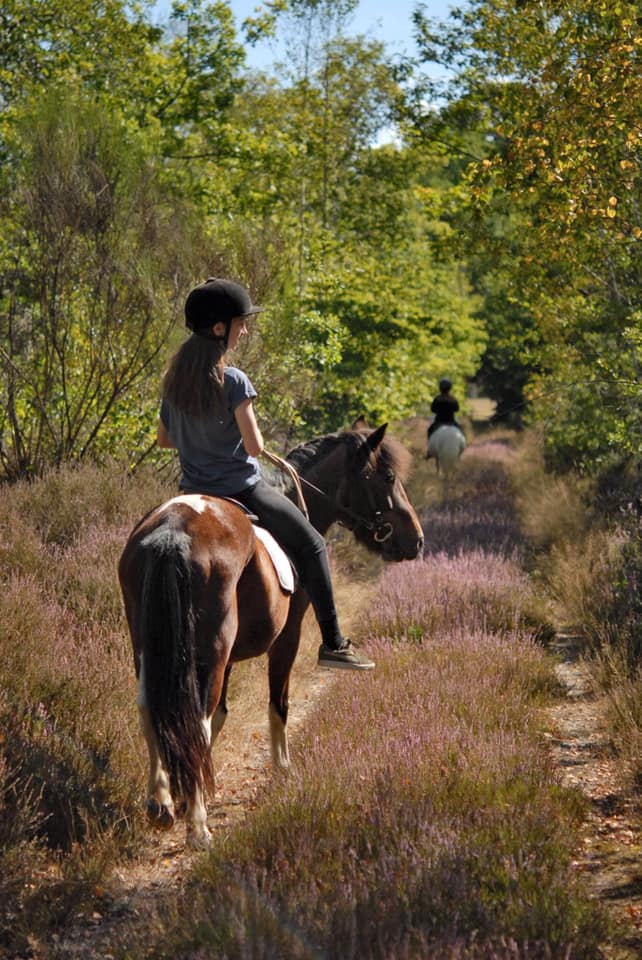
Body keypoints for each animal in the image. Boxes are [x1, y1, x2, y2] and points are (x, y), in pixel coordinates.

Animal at [118, 420, 424, 849]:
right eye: (388, 477)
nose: (416, 540)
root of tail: (172, 531)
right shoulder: (286, 637)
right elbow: (277, 705)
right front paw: (282, 770)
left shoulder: (226, 657)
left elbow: (219, 718)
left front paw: (192, 787)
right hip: (209, 649)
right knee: (196, 718)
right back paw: (198, 826)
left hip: (150, 645)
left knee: (152, 709)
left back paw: (160, 803)